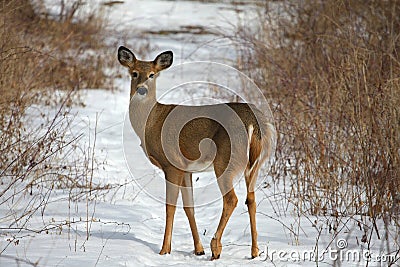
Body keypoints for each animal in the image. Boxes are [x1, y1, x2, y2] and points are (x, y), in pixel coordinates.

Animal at [117, 46, 276, 262]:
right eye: (134, 73)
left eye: (152, 74)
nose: (142, 89)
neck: (151, 123)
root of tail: (254, 121)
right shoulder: (187, 169)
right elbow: (189, 207)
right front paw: (198, 249)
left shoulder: (172, 164)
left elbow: (170, 206)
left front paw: (164, 250)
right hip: (255, 164)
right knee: (250, 199)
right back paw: (254, 252)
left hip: (225, 160)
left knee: (231, 199)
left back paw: (216, 247)